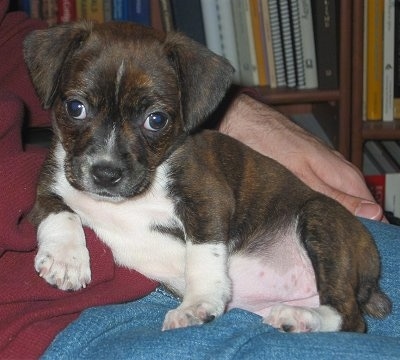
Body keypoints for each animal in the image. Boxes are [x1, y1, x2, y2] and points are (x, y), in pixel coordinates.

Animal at [24, 21, 390, 332]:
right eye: (75, 108)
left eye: (156, 120)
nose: (105, 172)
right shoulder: (50, 185)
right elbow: (59, 213)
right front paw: (65, 258)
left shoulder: (208, 199)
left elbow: (203, 254)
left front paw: (197, 304)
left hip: (320, 219)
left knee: (348, 317)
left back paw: (299, 317)